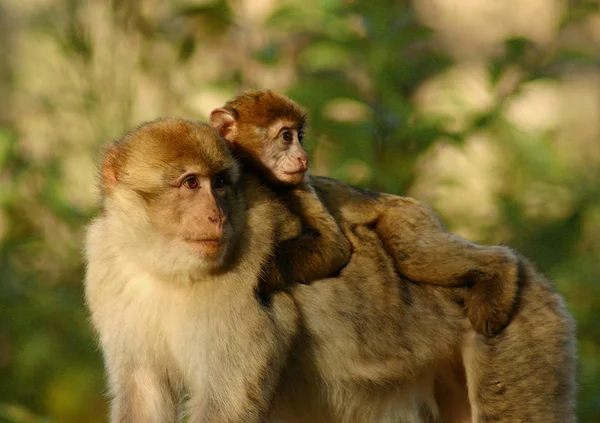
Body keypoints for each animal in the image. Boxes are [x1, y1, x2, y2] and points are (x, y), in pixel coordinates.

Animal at [85, 118, 576, 423]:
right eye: (190, 183)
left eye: (219, 183)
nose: (216, 217)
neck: (162, 265)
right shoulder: (108, 266)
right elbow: (145, 392)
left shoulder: (243, 284)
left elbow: (225, 402)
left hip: (525, 335)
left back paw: (499, 273)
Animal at [211, 90, 520, 338]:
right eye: (287, 136)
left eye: (299, 137)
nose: (303, 157)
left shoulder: (299, 185)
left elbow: (333, 246)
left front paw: (263, 276)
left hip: (410, 216)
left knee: (413, 254)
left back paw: (502, 265)